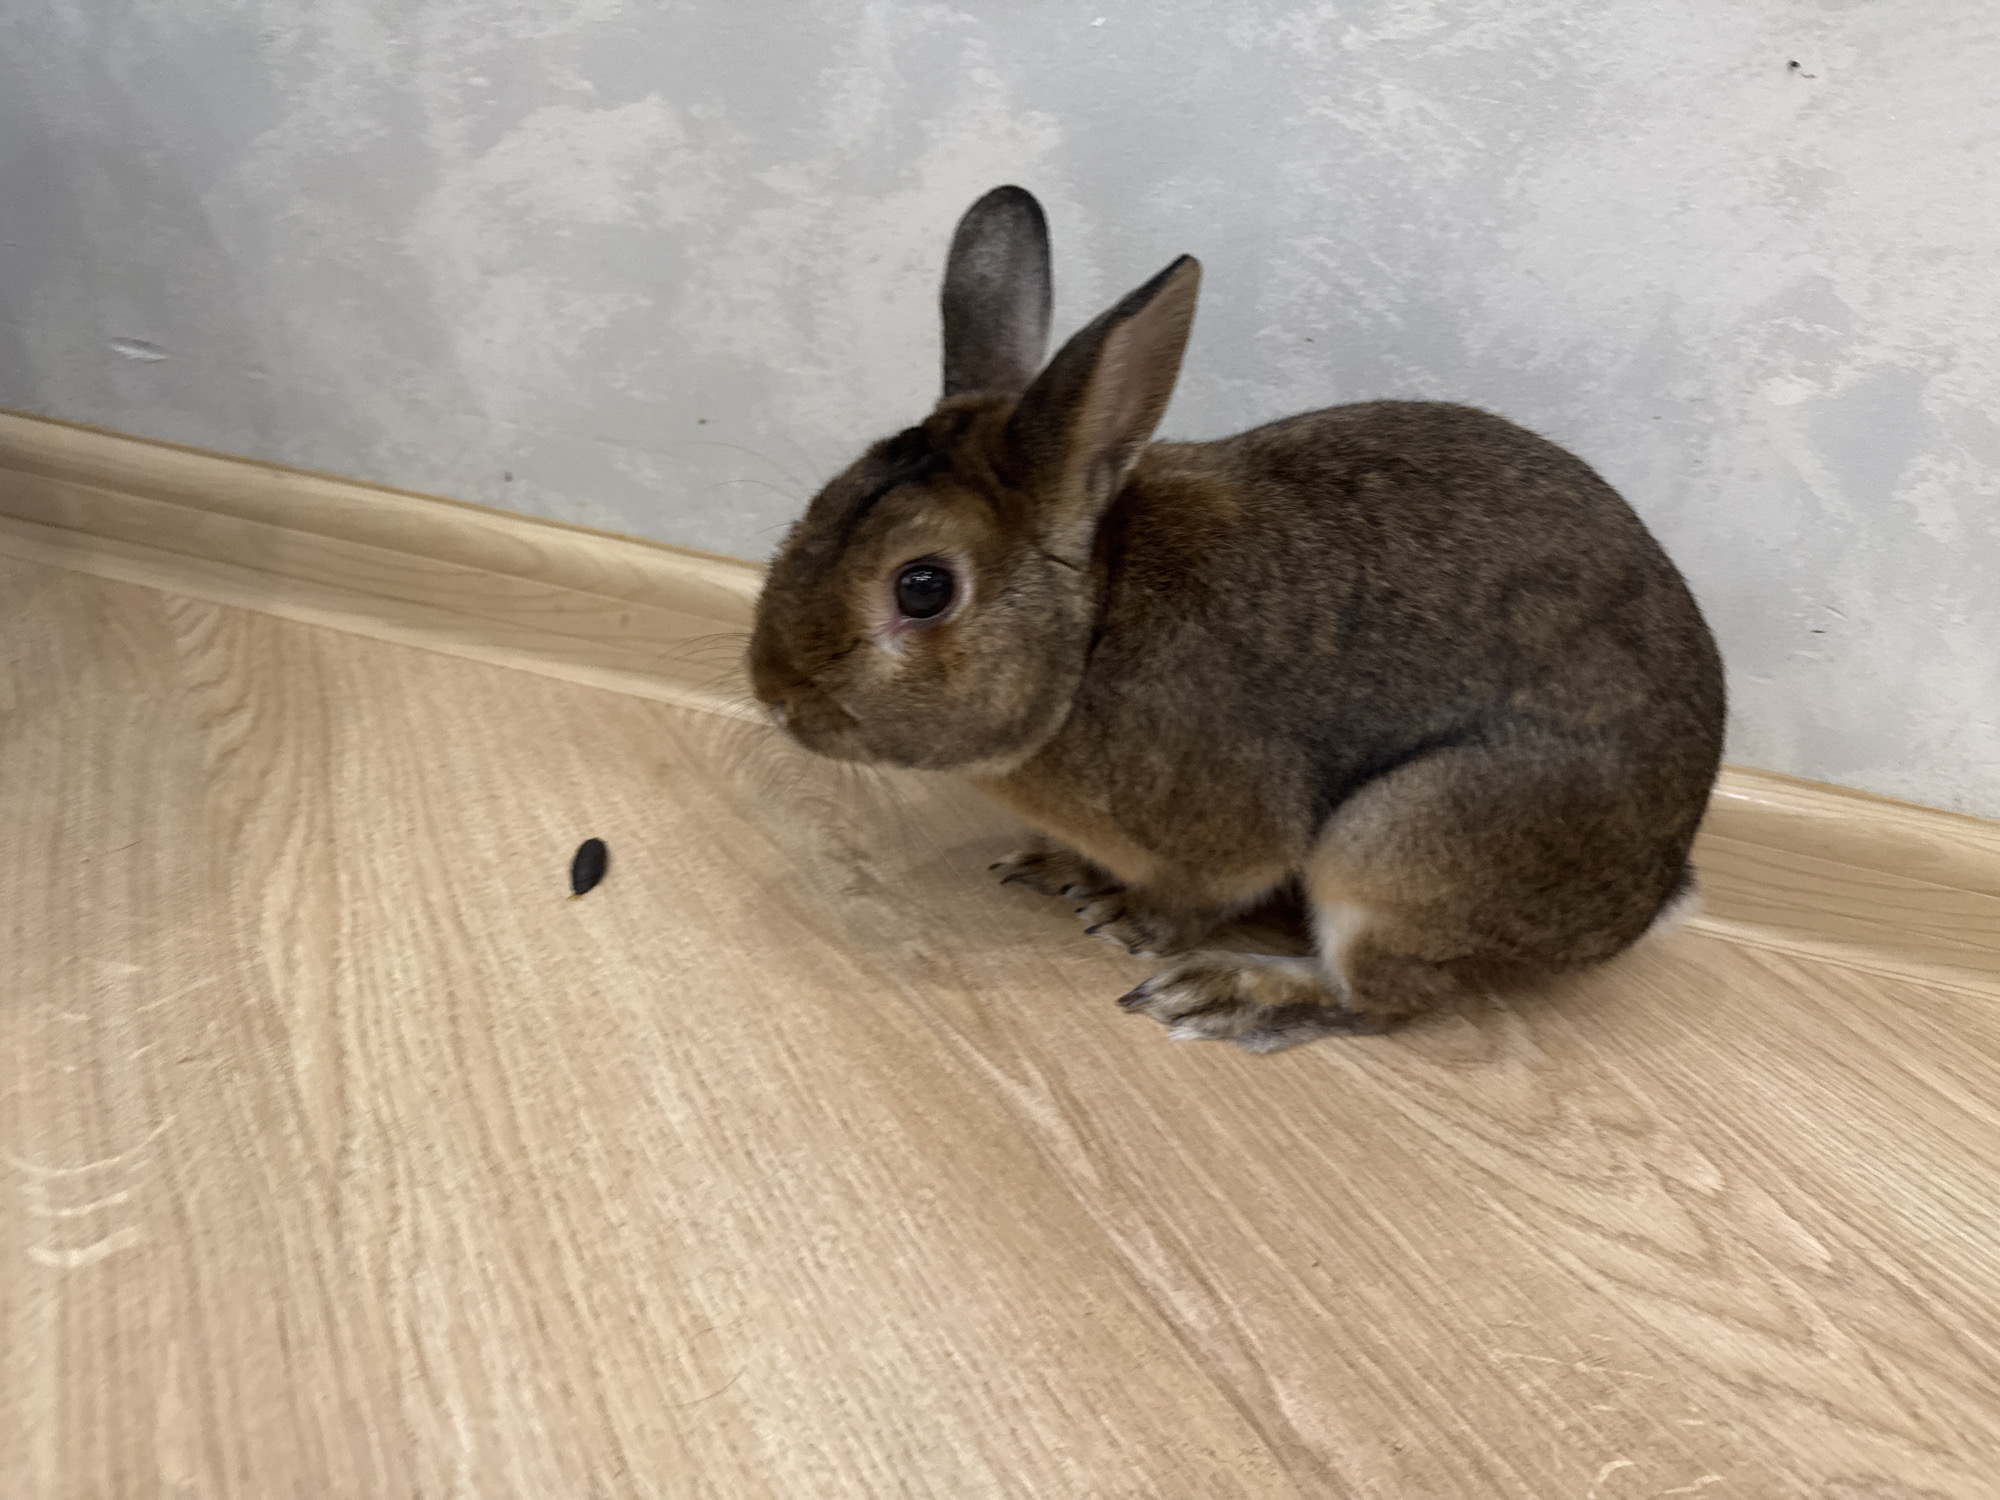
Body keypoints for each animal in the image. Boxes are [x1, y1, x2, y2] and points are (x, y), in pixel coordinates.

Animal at [748, 185, 1725, 1051]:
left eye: (922, 587)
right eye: (819, 504)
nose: (775, 696)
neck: (1091, 630)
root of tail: (1641, 901)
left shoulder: (1229, 835)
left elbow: (1197, 896)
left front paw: (1124, 918)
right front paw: (1055, 869)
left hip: (1400, 844)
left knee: (1386, 998)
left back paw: (1227, 994)